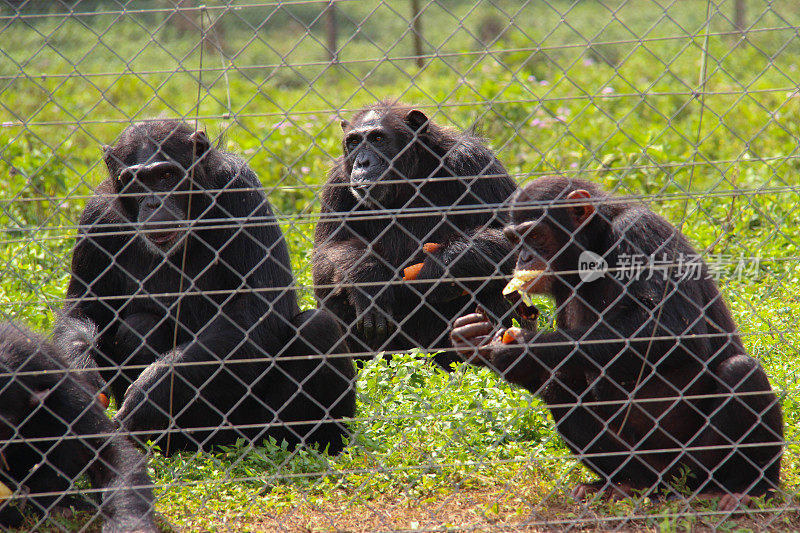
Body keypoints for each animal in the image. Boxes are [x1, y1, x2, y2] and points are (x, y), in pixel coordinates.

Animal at [54, 119, 354, 454]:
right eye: (135, 181)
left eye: (166, 175)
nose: (153, 202)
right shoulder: (94, 218)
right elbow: (84, 311)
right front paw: (81, 378)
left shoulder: (240, 188)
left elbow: (258, 305)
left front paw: (151, 392)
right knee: (139, 325)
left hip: (258, 432)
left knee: (317, 327)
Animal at [312, 100, 524, 366]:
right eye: (354, 142)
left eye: (378, 139)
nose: (362, 162)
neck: (410, 179)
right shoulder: (337, 184)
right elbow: (326, 254)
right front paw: (367, 278)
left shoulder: (474, 162)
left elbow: (515, 239)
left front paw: (438, 269)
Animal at [454, 177, 784, 510]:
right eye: (515, 239)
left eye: (534, 235)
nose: (523, 258)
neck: (594, 250)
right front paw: (475, 338)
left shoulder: (641, 234)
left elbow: (673, 328)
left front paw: (523, 349)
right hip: (642, 463)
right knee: (562, 386)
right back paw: (623, 485)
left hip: (698, 465)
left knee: (740, 372)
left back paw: (746, 489)